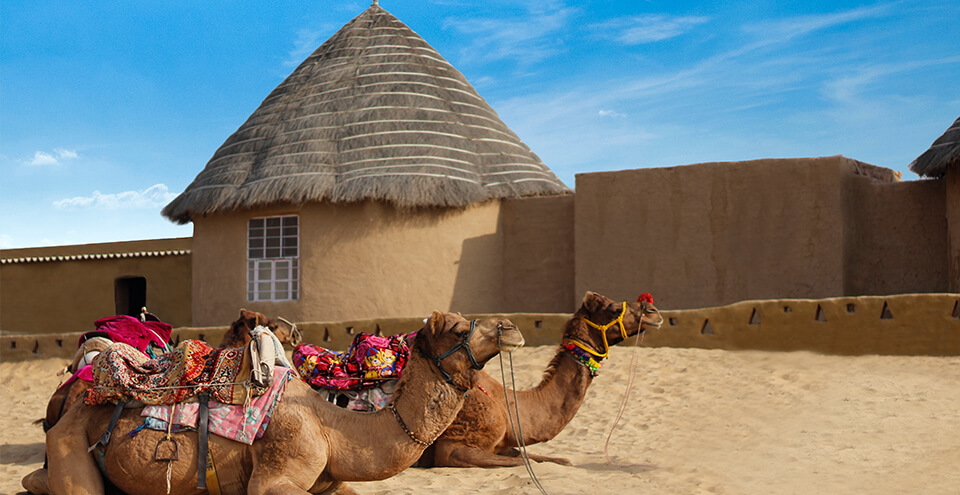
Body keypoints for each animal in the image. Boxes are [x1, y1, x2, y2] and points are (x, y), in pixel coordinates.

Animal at [25, 311, 524, 495]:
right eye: (459, 328)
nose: (512, 327)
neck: (333, 427)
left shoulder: (330, 481)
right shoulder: (277, 471)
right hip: (72, 442)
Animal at [418, 291, 663, 468]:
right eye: (613, 309)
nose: (653, 311)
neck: (505, 404)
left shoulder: (503, 444)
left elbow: (557, 459)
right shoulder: (452, 448)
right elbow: (523, 462)